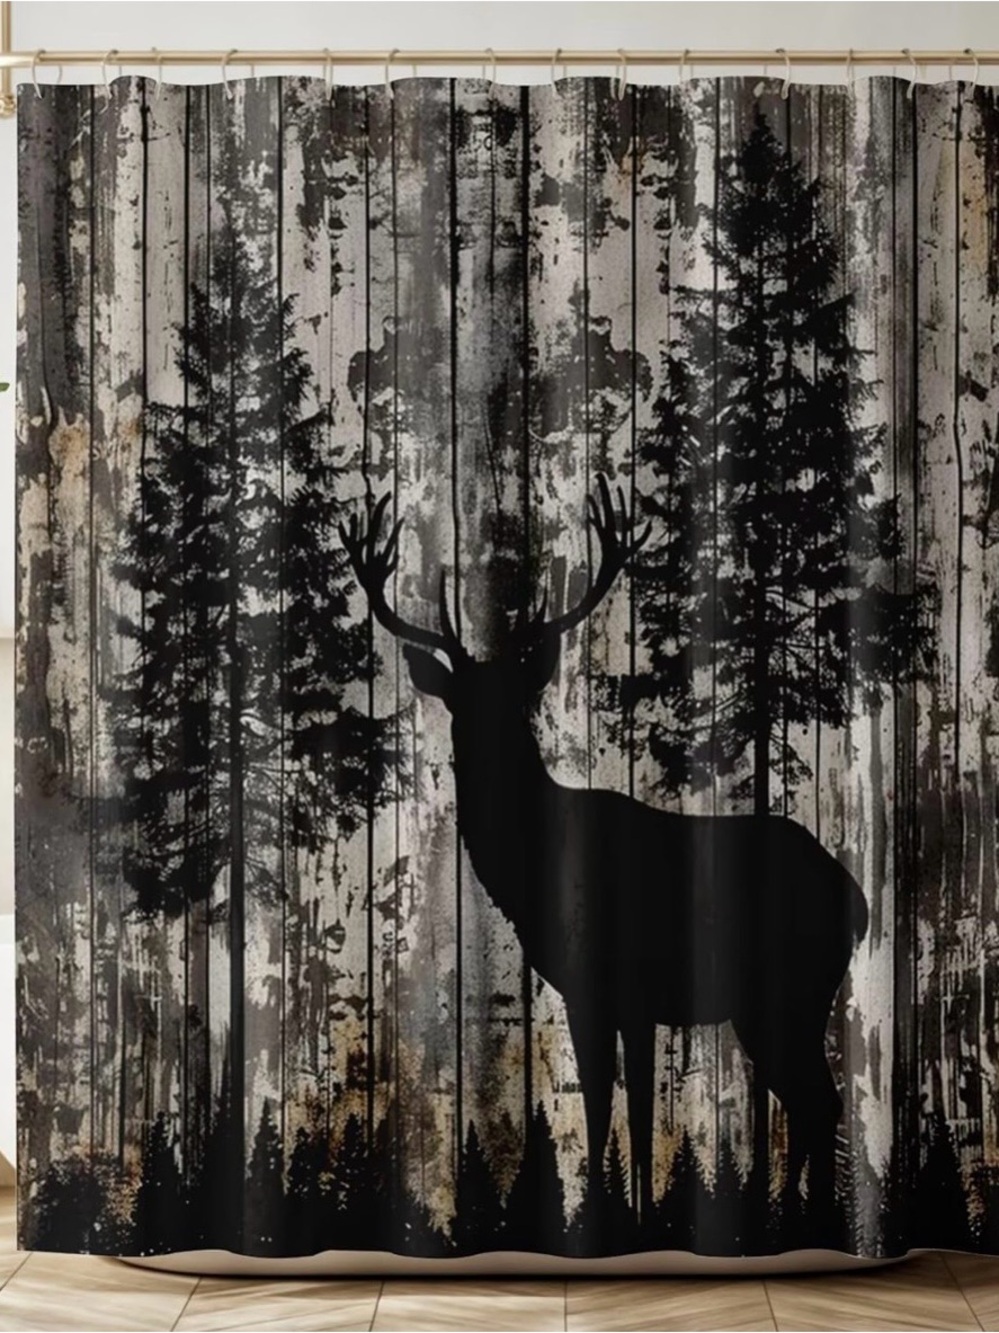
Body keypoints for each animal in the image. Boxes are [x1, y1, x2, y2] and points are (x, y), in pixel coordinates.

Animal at [340, 477, 869, 1226]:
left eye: (515, 697)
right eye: (459, 702)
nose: (483, 749)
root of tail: (856, 897)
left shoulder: (636, 989)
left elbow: (639, 1119)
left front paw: (638, 1220)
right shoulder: (583, 992)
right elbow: (596, 1113)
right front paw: (599, 1211)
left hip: (796, 985)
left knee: (819, 1100)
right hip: (765, 1004)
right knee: (808, 1101)